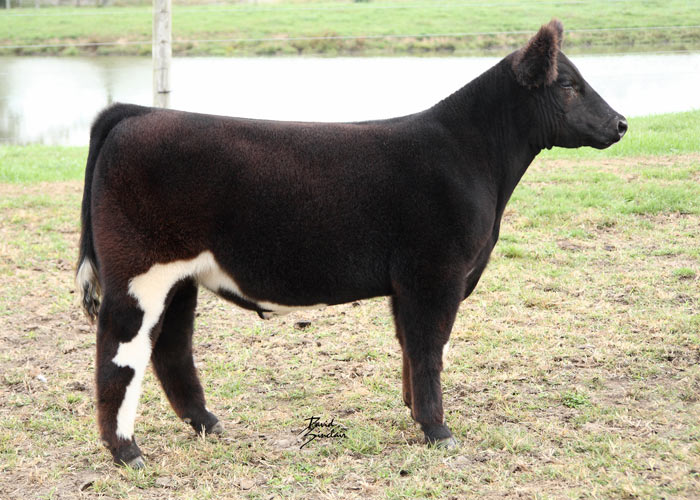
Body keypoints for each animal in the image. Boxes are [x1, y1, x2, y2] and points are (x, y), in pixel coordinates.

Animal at [76, 20, 626, 467]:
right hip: (139, 271)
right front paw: (439, 431)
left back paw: (208, 424)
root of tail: (135, 113)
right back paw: (126, 451)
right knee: (119, 351)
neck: (472, 156)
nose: (621, 123)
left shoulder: (410, 283)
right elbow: (430, 347)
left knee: (171, 347)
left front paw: (415, 413)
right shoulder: (436, 273)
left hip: (180, 276)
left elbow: (411, 347)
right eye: (569, 85)